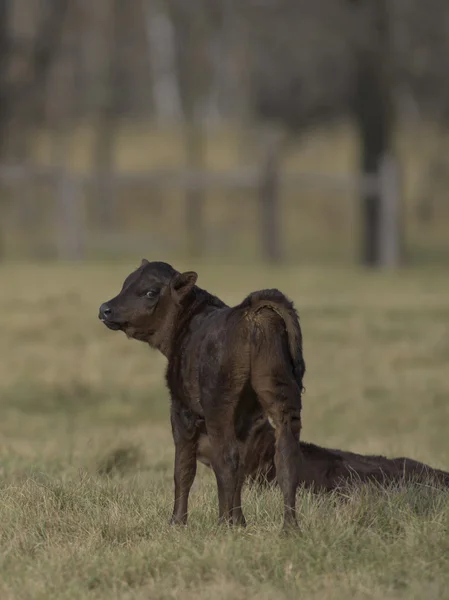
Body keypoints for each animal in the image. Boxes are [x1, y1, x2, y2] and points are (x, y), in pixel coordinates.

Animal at [99, 258, 304, 528]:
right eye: (125, 284)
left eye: (150, 292)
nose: (105, 309)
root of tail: (250, 314)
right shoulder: (247, 420)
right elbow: (241, 468)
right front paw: (240, 521)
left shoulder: (182, 410)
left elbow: (183, 468)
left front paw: (177, 522)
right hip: (282, 396)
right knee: (285, 456)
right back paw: (288, 527)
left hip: (218, 406)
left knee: (226, 459)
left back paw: (223, 524)